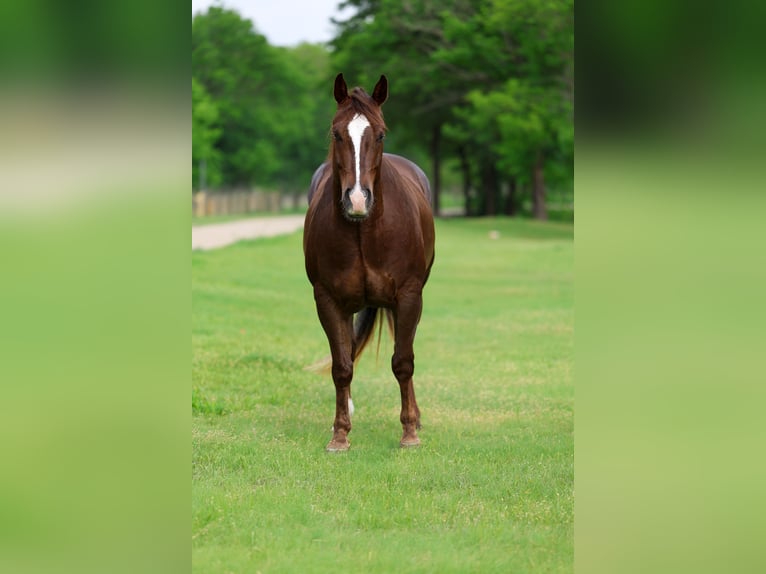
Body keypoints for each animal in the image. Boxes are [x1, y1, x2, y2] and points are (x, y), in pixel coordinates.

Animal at [303, 73, 436, 451]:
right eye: (336, 133)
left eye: (380, 134)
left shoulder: (408, 296)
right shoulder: (327, 300)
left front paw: (409, 432)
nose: (358, 200)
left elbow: (403, 362)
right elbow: (341, 365)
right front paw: (339, 434)